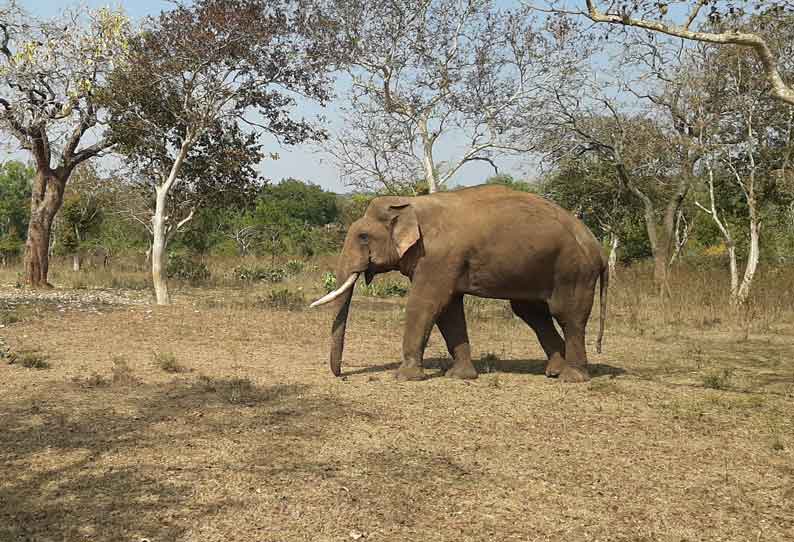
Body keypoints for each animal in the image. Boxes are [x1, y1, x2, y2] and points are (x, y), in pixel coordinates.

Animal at [310, 185, 608, 384]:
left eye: (362, 237)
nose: (342, 376)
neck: (410, 204)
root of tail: (599, 248)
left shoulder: (437, 257)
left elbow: (426, 304)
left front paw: (404, 377)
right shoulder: (443, 263)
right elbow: (450, 310)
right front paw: (460, 376)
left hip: (573, 271)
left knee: (568, 315)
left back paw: (572, 377)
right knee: (533, 313)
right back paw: (554, 372)